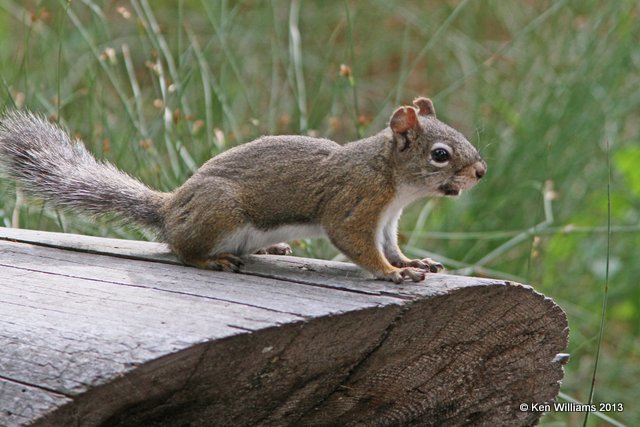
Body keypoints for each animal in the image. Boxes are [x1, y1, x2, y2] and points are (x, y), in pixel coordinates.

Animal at [0, 98, 484, 282]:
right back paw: (212, 260)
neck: (393, 180)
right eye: (441, 154)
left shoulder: (387, 219)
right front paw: (390, 273)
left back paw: (270, 249)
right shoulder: (356, 202)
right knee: (183, 250)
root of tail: (170, 210)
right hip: (219, 214)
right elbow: (358, 244)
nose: (480, 172)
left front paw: (411, 261)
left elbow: (390, 245)